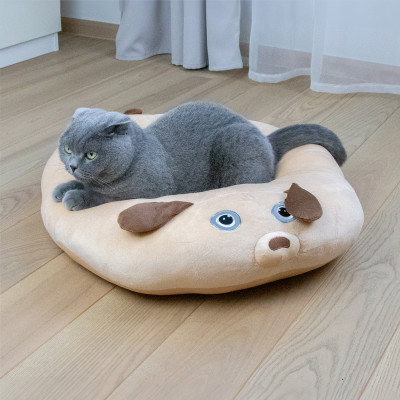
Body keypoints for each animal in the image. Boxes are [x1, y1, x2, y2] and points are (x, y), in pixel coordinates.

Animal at [53, 101, 346, 211]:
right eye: (67, 149)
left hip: (235, 145)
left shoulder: (147, 191)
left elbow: (104, 198)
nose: (73, 165)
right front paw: (62, 188)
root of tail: (268, 143)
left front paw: (75, 197)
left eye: (91, 154)